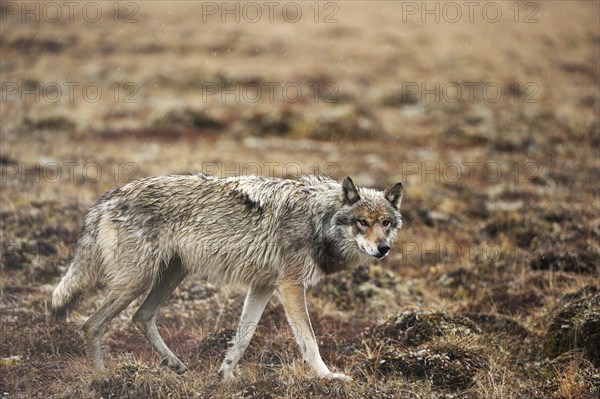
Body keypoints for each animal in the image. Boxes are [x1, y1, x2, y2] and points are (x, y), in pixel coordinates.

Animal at [52, 175, 404, 382]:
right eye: (362, 222)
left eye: (385, 223)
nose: (383, 249)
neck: (318, 219)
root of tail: (105, 199)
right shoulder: (290, 286)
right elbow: (309, 340)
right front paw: (327, 376)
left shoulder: (263, 286)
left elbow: (243, 336)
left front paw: (225, 374)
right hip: (136, 281)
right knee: (92, 324)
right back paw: (103, 378)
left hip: (171, 275)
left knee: (141, 316)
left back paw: (175, 365)